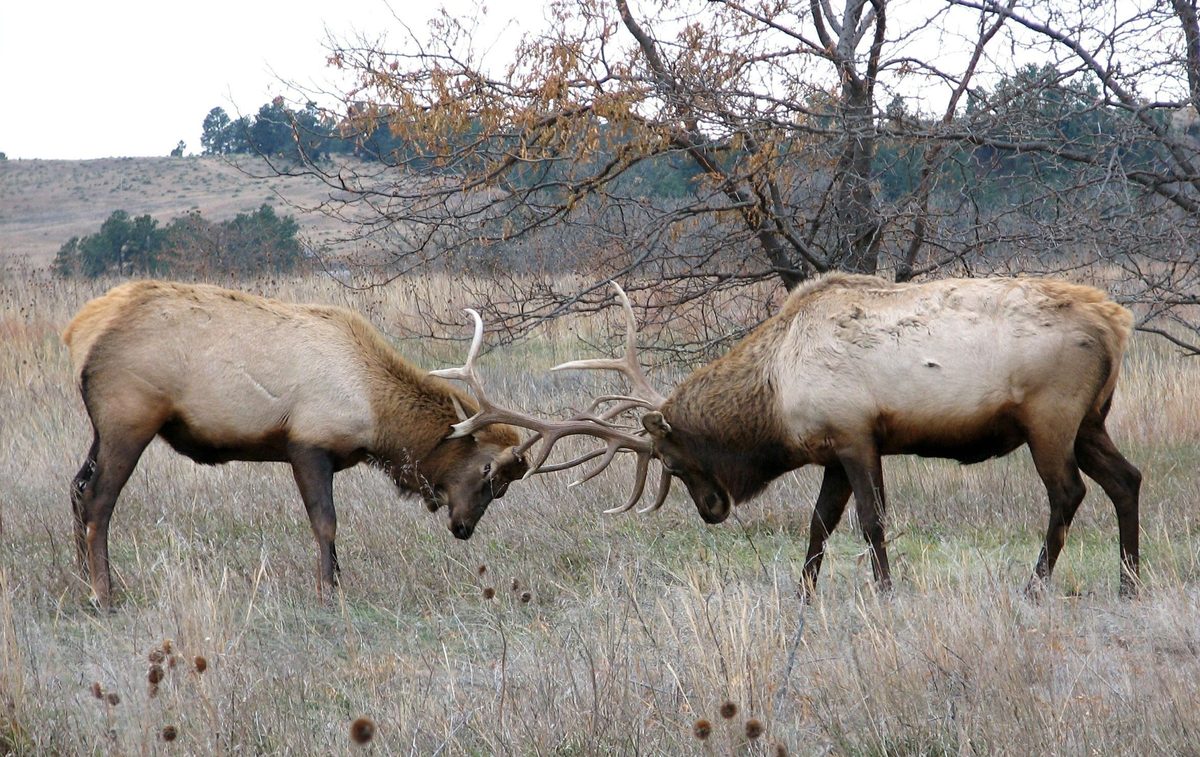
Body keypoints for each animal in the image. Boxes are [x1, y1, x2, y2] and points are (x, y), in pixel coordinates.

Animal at [62, 280, 530, 608]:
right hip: (128, 419)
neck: (374, 413)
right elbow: (326, 523)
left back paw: (82, 581)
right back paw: (104, 594)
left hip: (103, 430)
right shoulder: (308, 445)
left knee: (77, 488)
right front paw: (328, 592)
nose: (463, 527)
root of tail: (77, 331)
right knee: (99, 499)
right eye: (488, 471)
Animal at [436, 273, 1142, 598]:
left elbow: (872, 522)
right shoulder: (831, 450)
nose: (712, 510)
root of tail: (1116, 323)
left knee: (1069, 493)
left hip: (1050, 417)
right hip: (1090, 421)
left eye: (672, 459)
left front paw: (885, 591)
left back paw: (1035, 585)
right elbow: (818, 524)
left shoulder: (857, 434)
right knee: (1126, 479)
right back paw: (1131, 581)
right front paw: (804, 593)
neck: (775, 398)